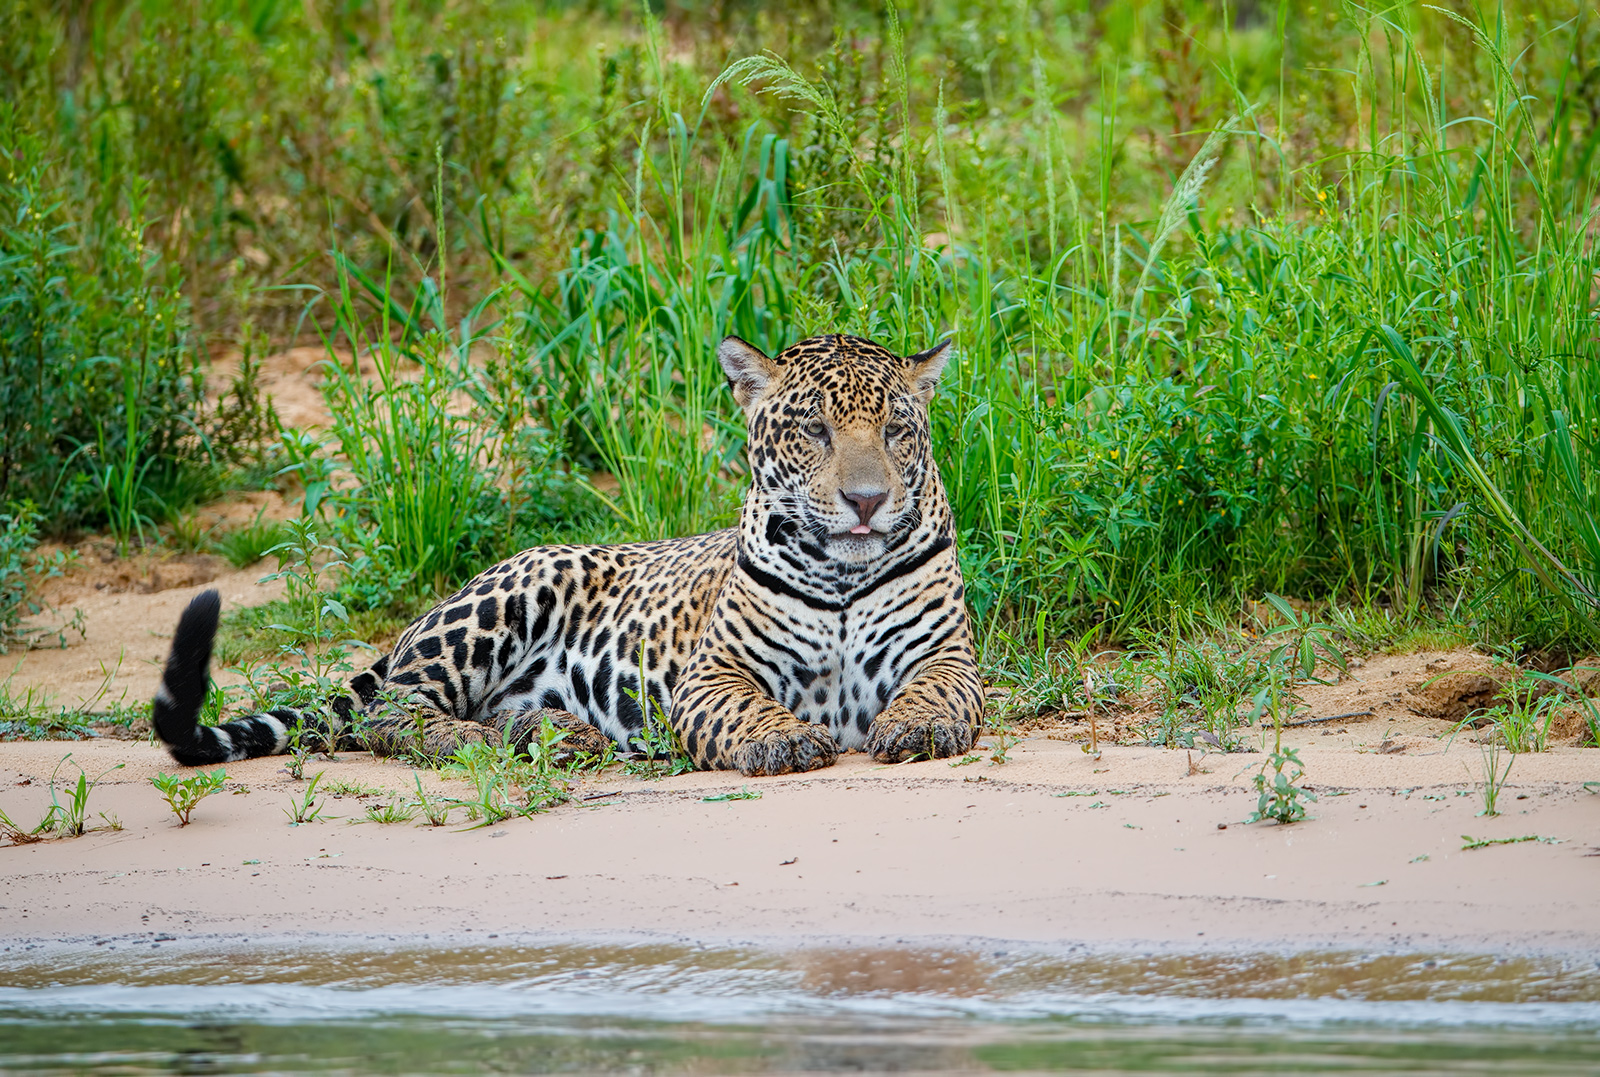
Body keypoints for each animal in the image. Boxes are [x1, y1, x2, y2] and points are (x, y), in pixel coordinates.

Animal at [152, 332, 985, 776]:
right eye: (814, 430)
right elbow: (746, 705)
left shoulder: (947, 657)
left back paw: (556, 733)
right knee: (394, 709)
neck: (841, 571)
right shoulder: (714, 672)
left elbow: (935, 693)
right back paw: (476, 738)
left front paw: (916, 728)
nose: (866, 501)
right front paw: (781, 737)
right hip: (510, 594)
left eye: (897, 431)